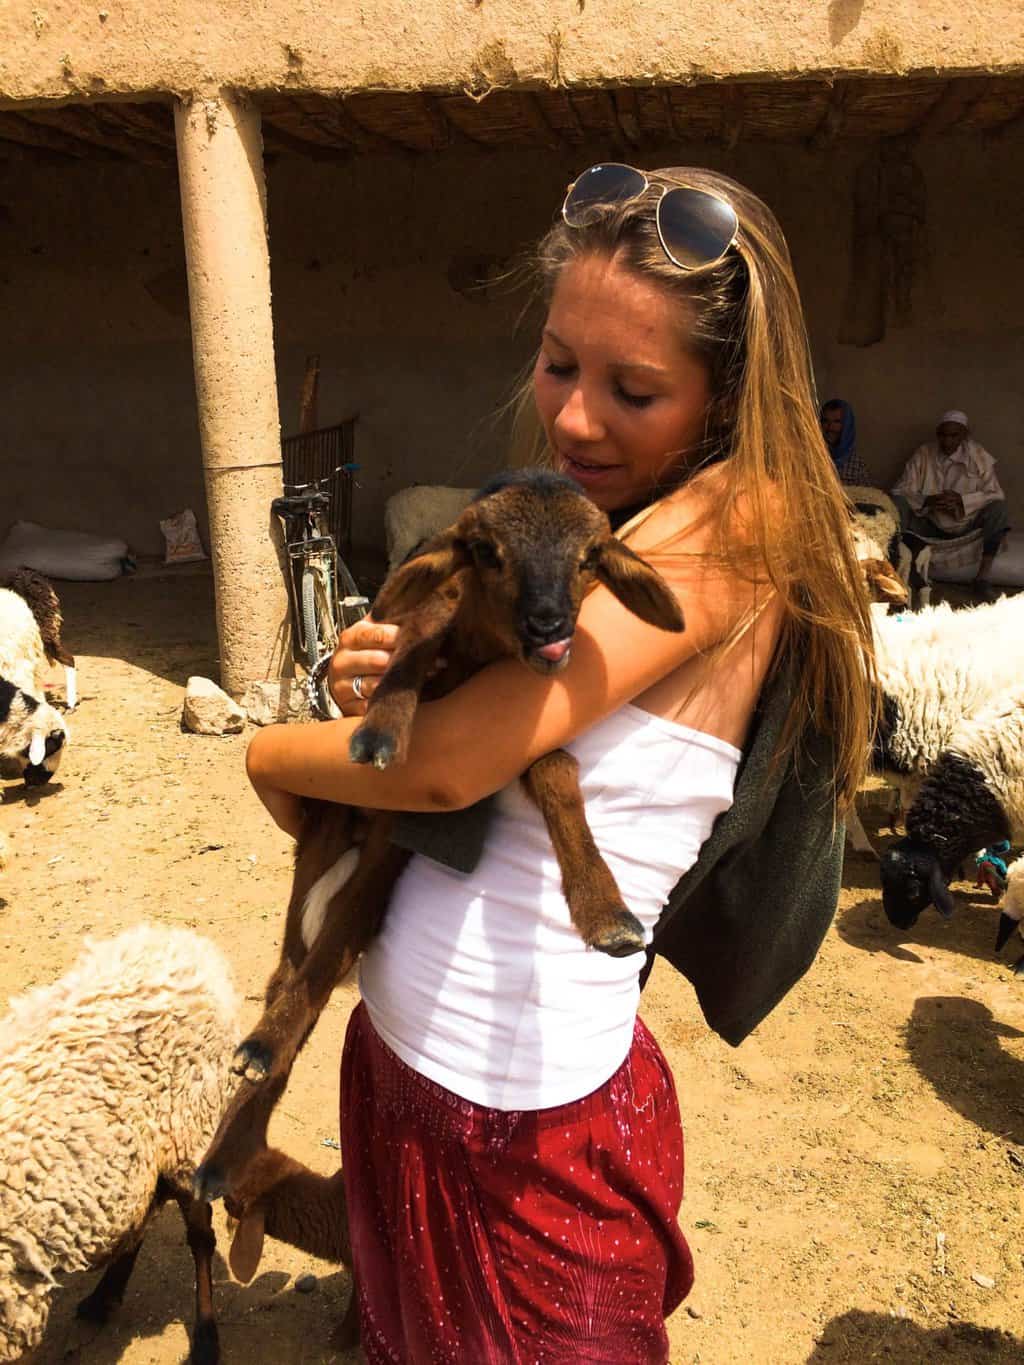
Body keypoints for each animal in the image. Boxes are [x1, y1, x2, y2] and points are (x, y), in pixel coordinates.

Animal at [0, 922, 243, 1359]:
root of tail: (184, 943)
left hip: (186, 1133)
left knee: (200, 1238)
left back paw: (205, 1337)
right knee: (142, 1213)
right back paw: (103, 1297)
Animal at [196, 469, 685, 1206]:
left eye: (590, 559)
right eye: (486, 552)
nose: (550, 626)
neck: (481, 651)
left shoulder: (512, 724)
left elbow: (557, 770)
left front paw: (608, 913)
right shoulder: (432, 615)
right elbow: (413, 645)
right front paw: (377, 735)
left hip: (378, 866)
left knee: (323, 957)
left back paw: (232, 1146)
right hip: (326, 855)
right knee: (298, 971)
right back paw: (251, 1068)